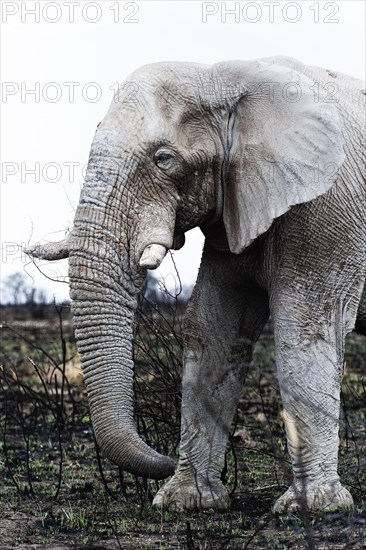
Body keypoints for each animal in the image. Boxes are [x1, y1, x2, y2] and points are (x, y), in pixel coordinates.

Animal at [28, 55, 366, 512]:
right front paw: (186, 502)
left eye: (163, 158)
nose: (163, 456)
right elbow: (212, 330)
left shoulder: (326, 207)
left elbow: (305, 327)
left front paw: (312, 508)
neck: (223, 77)